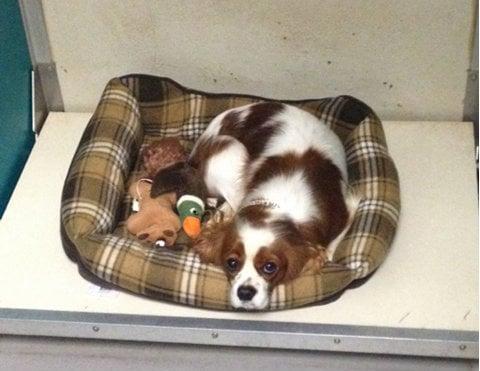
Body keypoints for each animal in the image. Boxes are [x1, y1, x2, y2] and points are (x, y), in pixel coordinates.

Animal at [188, 101, 356, 310]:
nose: (245, 292)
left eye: (270, 267)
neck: (279, 208)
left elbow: (331, 249)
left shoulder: (347, 210)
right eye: (232, 263)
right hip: (229, 150)